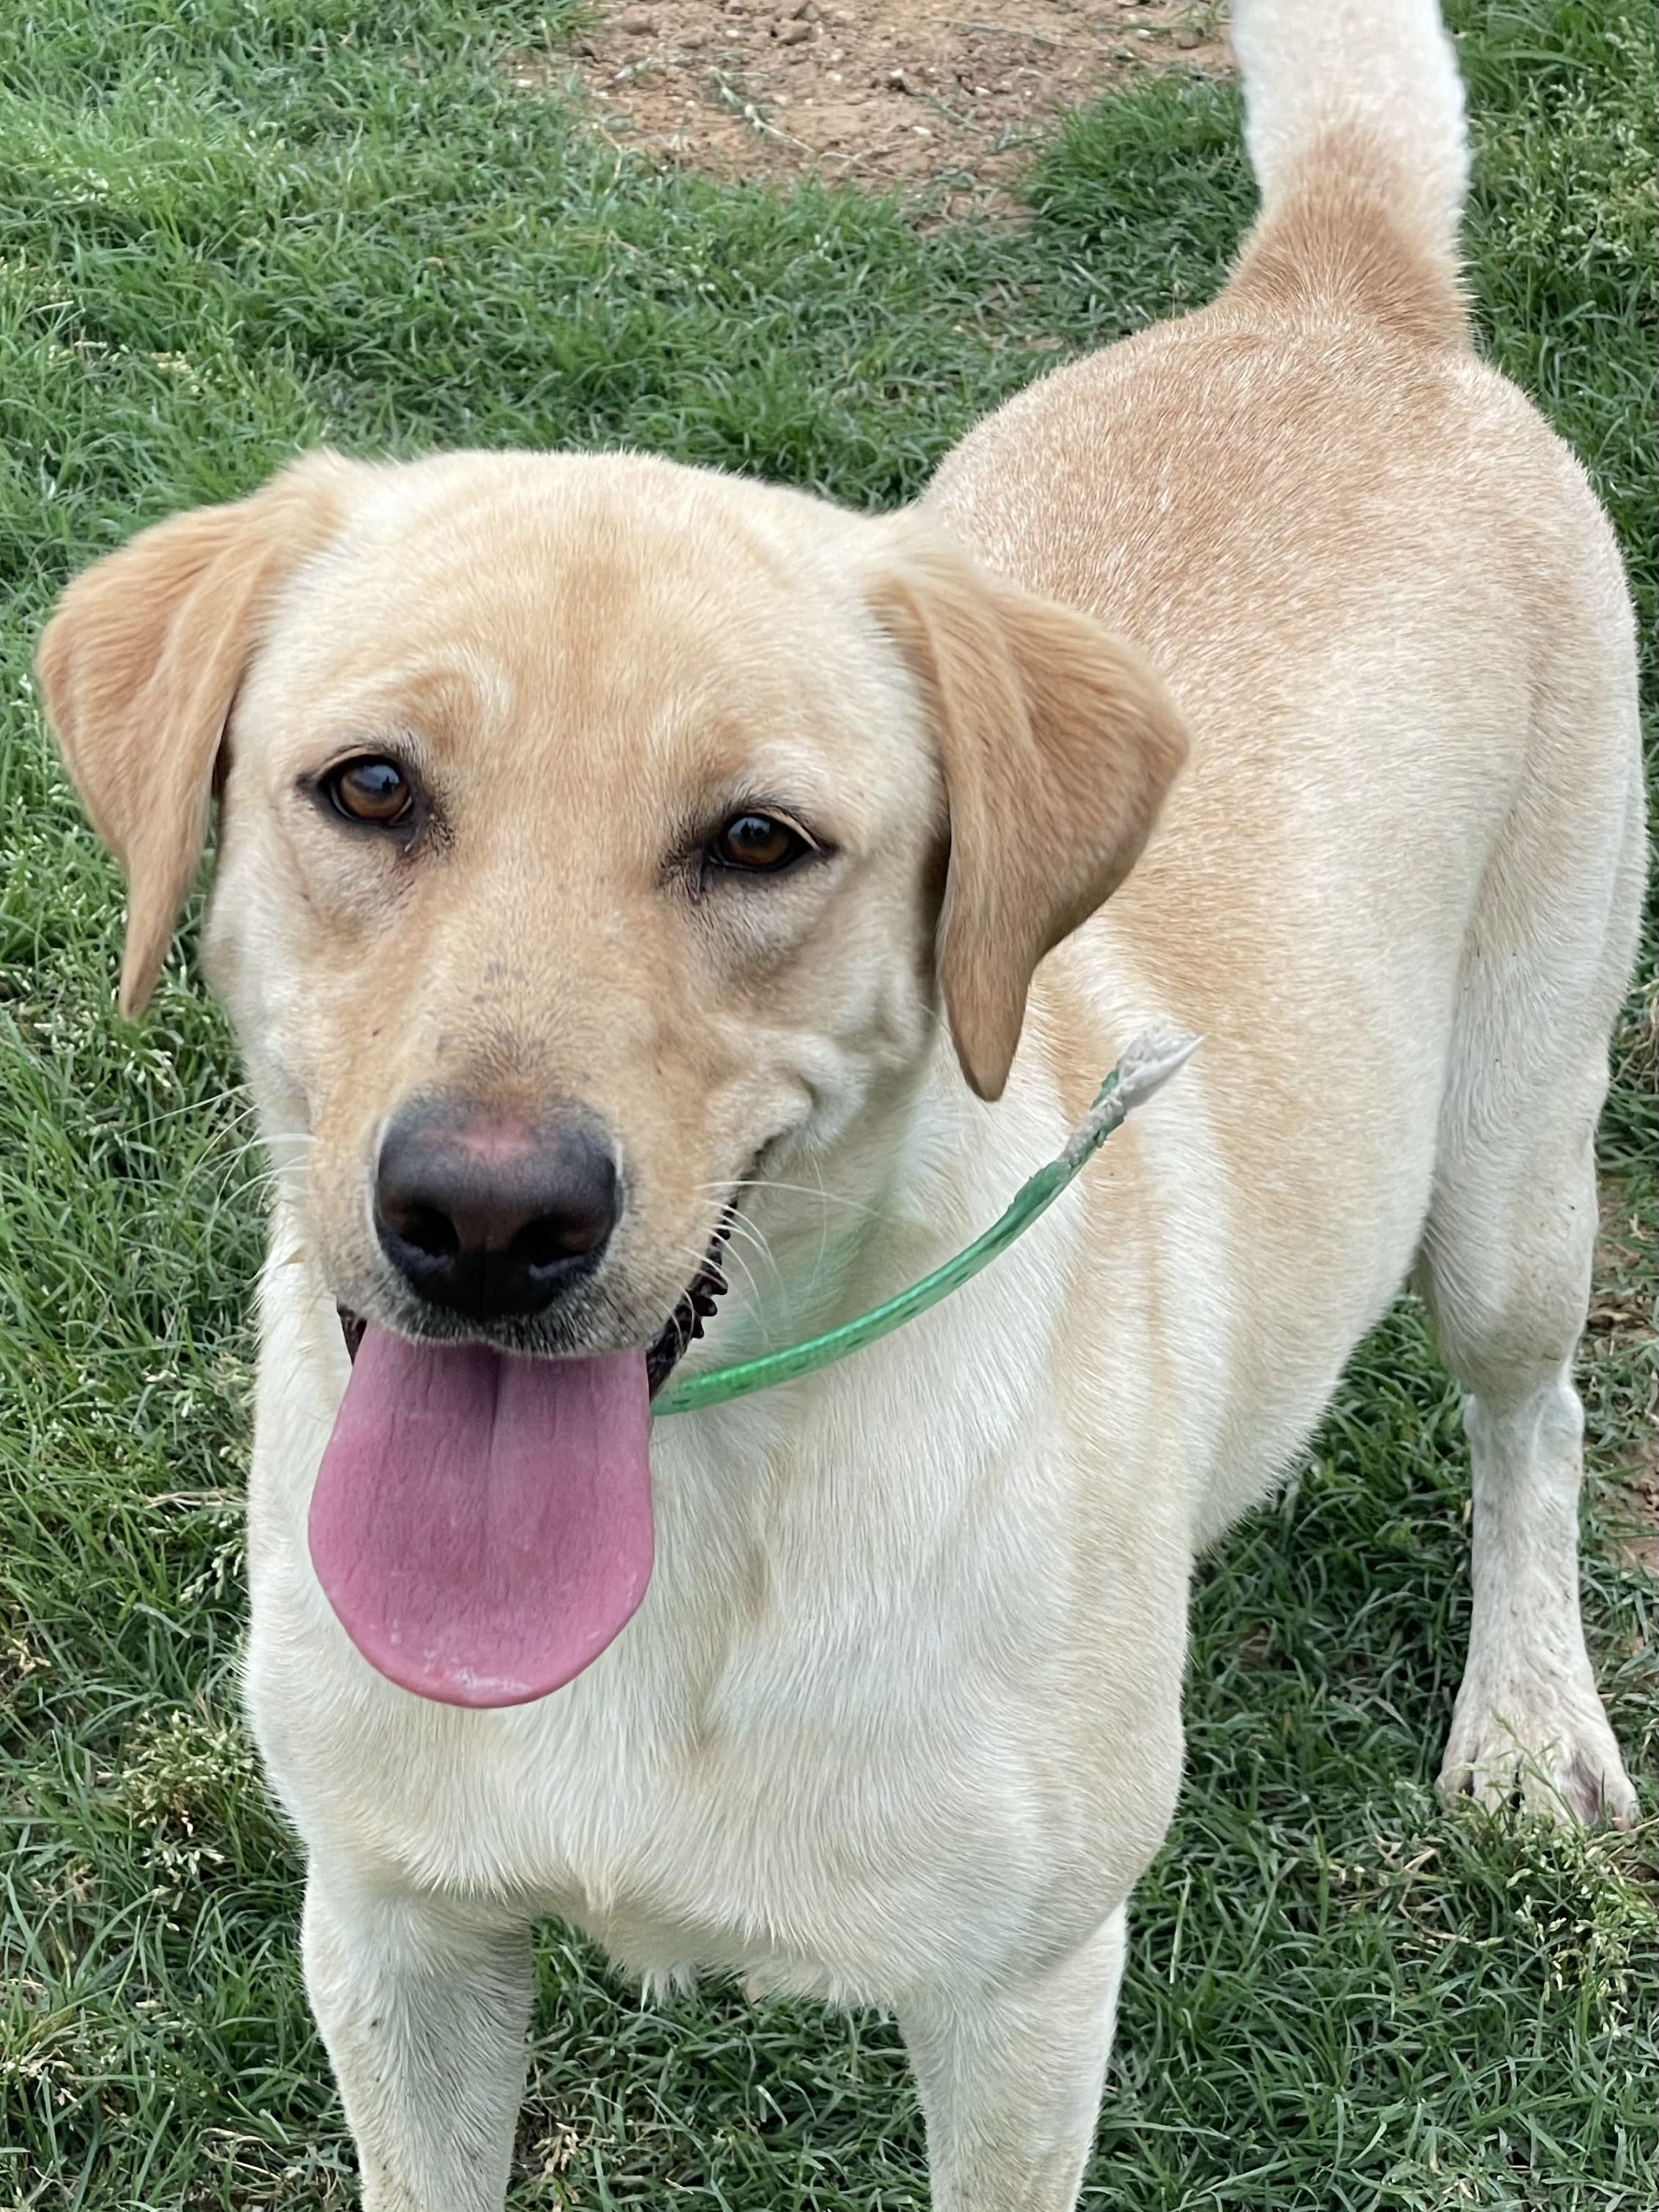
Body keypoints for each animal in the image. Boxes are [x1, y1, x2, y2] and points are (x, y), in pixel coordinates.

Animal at [39, 0, 1654, 2202]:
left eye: (758, 841)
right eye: (368, 788)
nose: (482, 1220)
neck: (689, 1510)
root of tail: (1328, 291)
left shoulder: (1023, 2004)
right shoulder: (391, 1936)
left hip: (1508, 1169)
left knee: (1529, 1418)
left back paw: (1528, 1717)